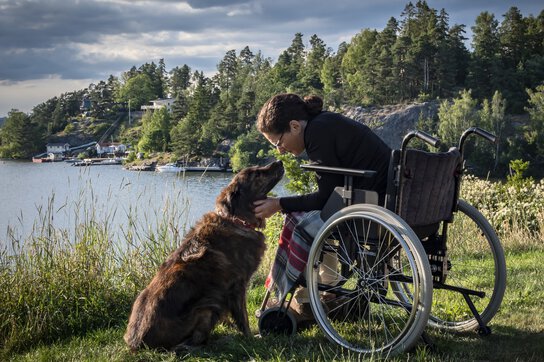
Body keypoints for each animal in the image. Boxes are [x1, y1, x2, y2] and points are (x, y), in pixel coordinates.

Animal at [124, 160, 284, 350]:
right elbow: (243, 317)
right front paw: (251, 338)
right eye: (257, 174)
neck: (237, 220)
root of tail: (137, 342)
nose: (279, 161)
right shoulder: (237, 286)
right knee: (189, 343)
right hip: (206, 307)